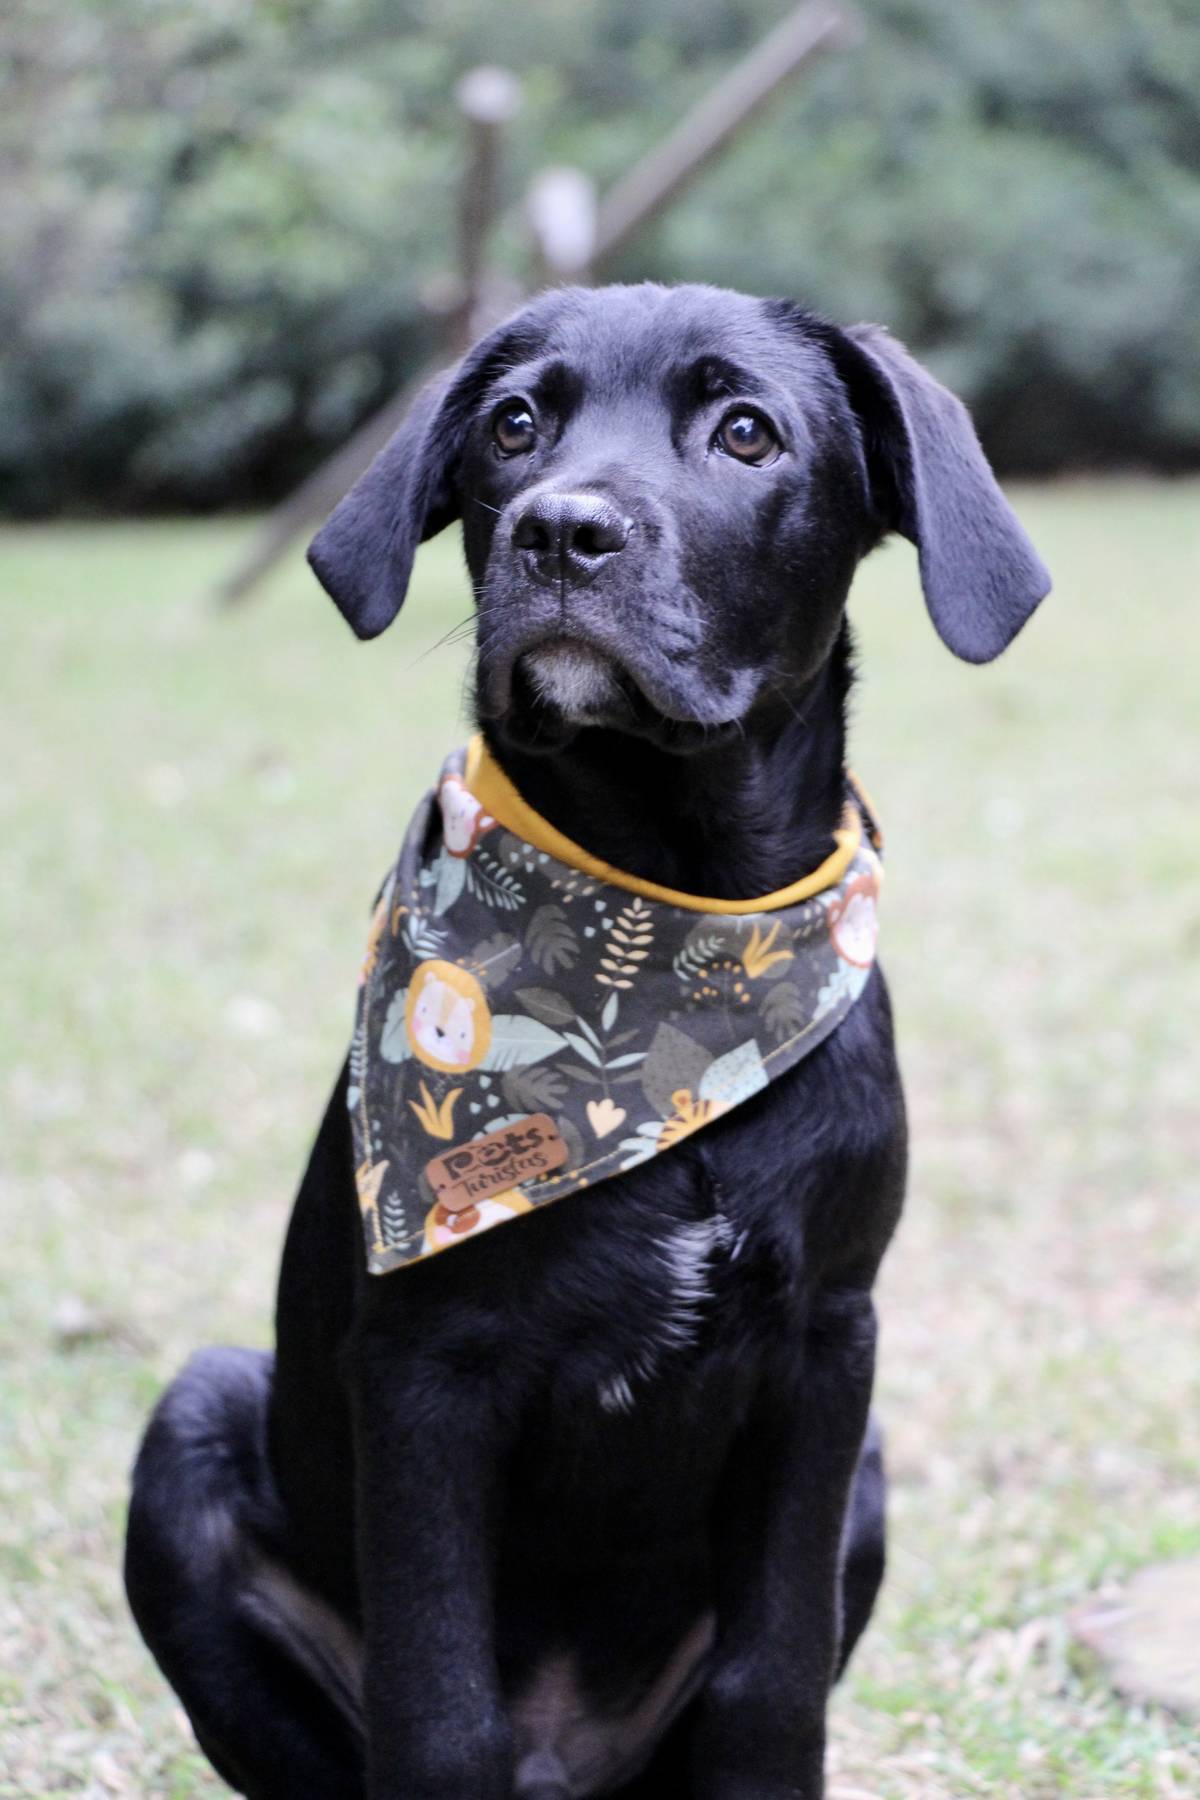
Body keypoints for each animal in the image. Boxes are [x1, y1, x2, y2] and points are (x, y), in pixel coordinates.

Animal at [125, 282, 1049, 1800]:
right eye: (513, 425)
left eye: (748, 433)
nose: (560, 531)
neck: (678, 942)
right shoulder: (425, 1371)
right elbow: (439, 1710)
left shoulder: (830, 1347)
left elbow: (770, 1676)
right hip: (193, 1427)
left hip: (864, 1478)